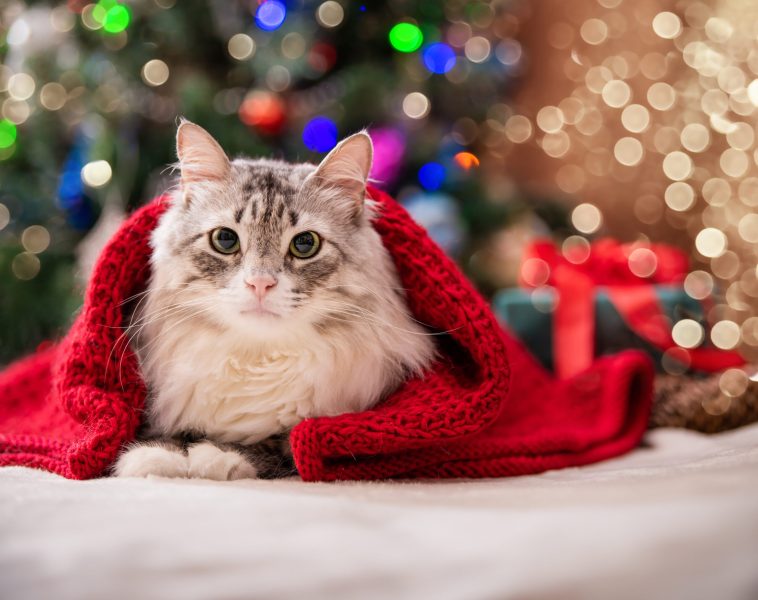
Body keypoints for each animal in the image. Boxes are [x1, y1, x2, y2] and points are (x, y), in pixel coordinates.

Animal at [116, 122, 440, 482]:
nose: (260, 283)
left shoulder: (332, 429)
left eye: (305, 244)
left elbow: (280, 442)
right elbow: (163, 436)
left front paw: (215, 455)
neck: (256, 360)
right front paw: (156, 455)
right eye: (225, 239)